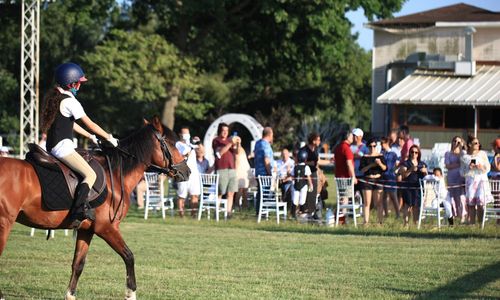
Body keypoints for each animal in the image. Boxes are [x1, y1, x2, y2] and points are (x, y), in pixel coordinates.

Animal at [0, 116, 189, 298]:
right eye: (172, 144)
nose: (187, 171)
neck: (115, 175)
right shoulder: (106, 228)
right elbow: (129, 256)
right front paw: (130, 293)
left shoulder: (87, 230)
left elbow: (78, 263)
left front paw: (70, 295)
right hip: (5, 224)